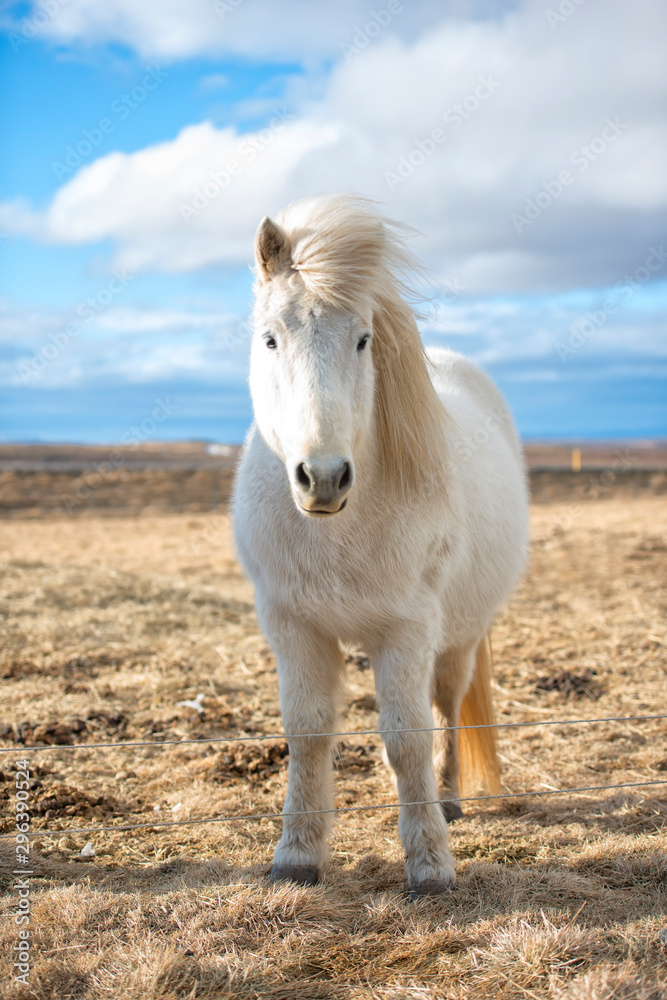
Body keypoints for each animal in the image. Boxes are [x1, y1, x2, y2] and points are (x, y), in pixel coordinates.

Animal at [232, 195, 528, 900]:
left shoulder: (407, 631)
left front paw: (429, 864)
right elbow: (307, 732)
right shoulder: (294, 628)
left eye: (362, 338)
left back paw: (448, 802)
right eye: (271, 338)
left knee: (447, 705)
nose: (323, 477)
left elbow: (408, 738)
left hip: (457, 638)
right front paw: (297, 854)